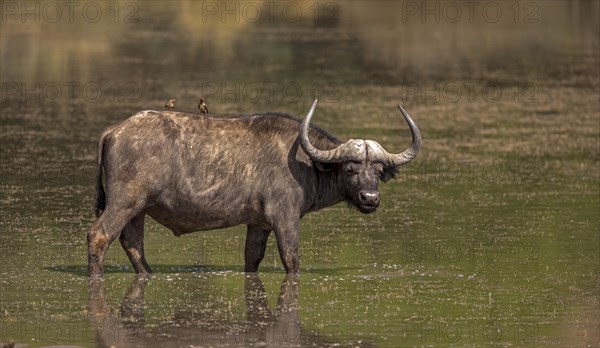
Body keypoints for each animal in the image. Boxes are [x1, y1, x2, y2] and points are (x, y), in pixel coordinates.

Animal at [88, 99, 422, 276]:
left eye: (378, 170)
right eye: (350, 168)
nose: (370, 198)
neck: (306, 163)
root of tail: (114, 131)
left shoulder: (258, 224)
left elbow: (252, 258)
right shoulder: (285, 218)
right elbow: (291, 258)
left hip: (139, 209)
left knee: (132, 243)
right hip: (124, 202)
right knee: (99, 236)